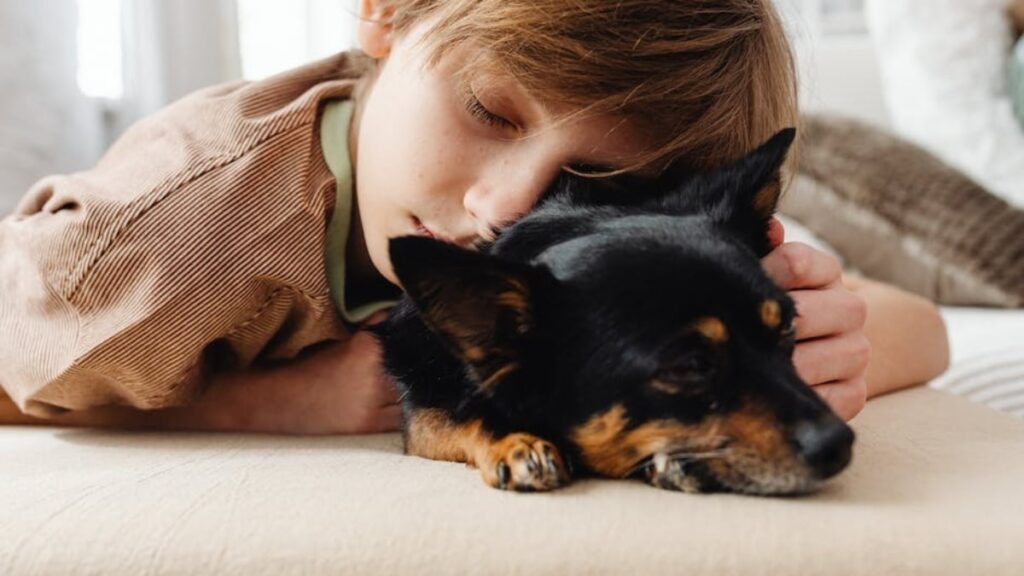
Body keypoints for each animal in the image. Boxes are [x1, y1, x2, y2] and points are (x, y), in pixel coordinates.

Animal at [372, 129, 851, 494]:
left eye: (788, 328)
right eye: (691, 366)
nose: (841, 443)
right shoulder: (425, 402)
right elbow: (455, 413)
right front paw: (515, 441)